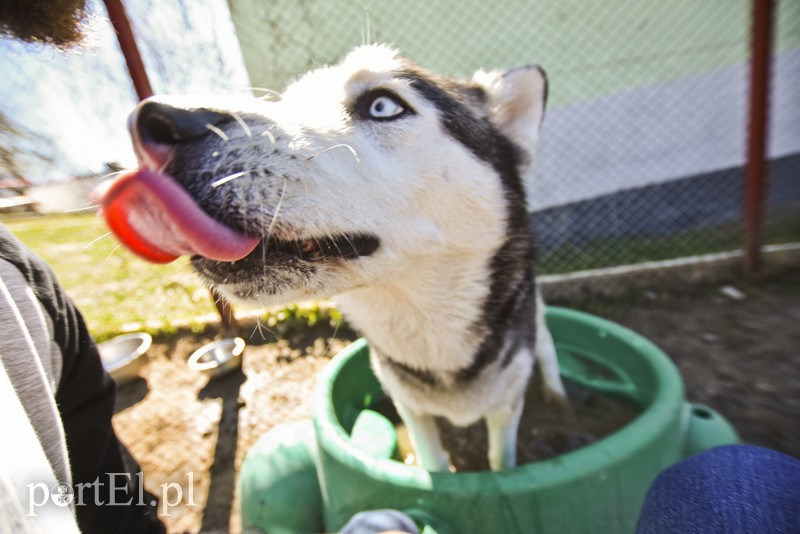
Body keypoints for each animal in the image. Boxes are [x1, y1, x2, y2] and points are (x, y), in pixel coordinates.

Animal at [97, 47, 564, 474]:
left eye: (382, 105)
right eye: (291, 100)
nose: (154, 118)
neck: (429, 332)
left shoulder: (505, 408)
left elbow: (500, 464)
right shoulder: (411, 409)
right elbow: (434, 466)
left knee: (545, 341)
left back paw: (557, 392)